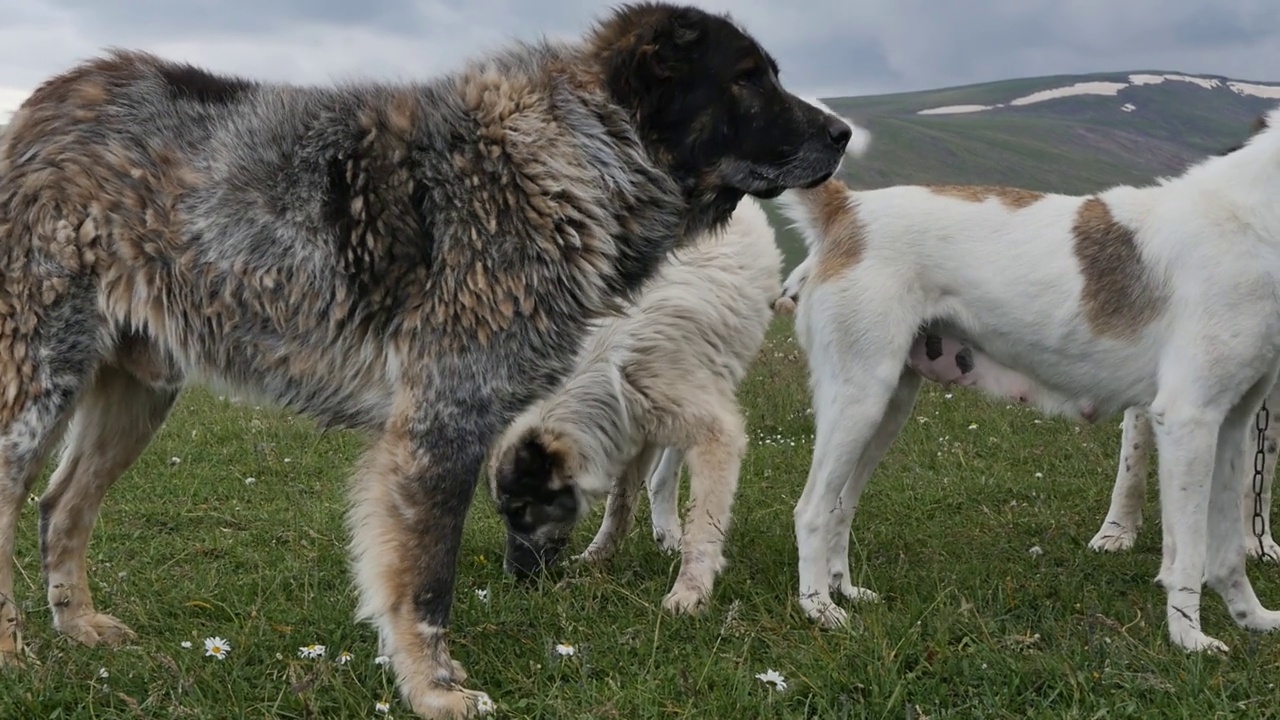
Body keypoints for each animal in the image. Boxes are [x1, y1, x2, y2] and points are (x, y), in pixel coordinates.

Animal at [486, 194, 788, 609]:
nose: (512, 575)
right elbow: (619, 505)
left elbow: (704, 522)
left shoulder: (714, 433)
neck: (606, 365)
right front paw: (597, 557)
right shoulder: (630, 428)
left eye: (520, 510)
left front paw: (690, 590)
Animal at [773, 99, 1280, 650]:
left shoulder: (1233, 426)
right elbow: (1188, 553)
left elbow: (1229, 551)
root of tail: (849, 209)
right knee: (811, 509)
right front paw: (1189, 639)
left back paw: (842, 590)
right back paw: (818, 607)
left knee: (841, 505)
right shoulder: (1188, 421)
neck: (1254, 223)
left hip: (888, 408)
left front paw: (1252, 619)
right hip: (858, 401)